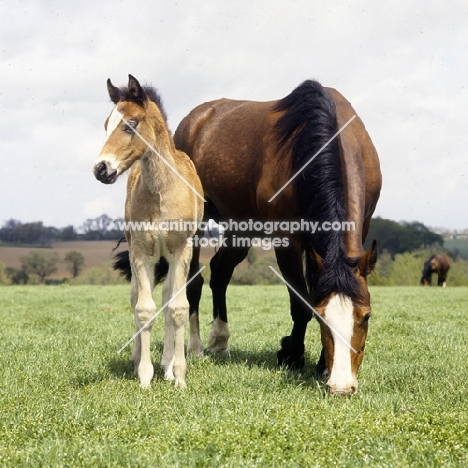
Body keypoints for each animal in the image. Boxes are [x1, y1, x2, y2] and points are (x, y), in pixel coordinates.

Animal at [93, 74, 203, 388]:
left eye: (129, 125)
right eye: (105, 125)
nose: (101, 168)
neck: (162, 191)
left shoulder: (182, 250)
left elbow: (178, 308)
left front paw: (178, 376)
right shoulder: (142, 251)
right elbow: (144, 309)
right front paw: (144, 376)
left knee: (167, 297)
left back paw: (167, 363)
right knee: (137, 299)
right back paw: (139, 360)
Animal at [174, 80, 382, 394]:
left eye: (366, 315)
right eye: (322, 317)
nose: (342, 385)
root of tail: (194, 119)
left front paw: (321, 365)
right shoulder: (288, 241)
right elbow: (301, 303)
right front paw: (293, 355)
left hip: (241, 225)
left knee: (220, 273)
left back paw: (220, 340)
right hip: (197, 220)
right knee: (195, 281)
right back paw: (196, 347)